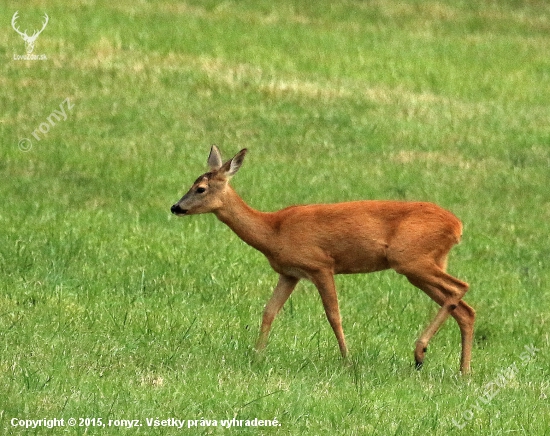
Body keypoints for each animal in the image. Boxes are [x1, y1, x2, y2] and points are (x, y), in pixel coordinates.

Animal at [170, 148, 476, 372]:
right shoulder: (289, 273)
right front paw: (256, 355)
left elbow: (333, 315)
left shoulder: (320, 265)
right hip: (424, 264)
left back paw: (420, 352)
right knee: (464, 309)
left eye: (200, 188)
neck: (273, 231)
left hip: (411, 259)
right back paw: (462, 371)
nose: (176, 207)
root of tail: (458, 226)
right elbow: (269, 311)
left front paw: (347, 360)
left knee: (461, 287)